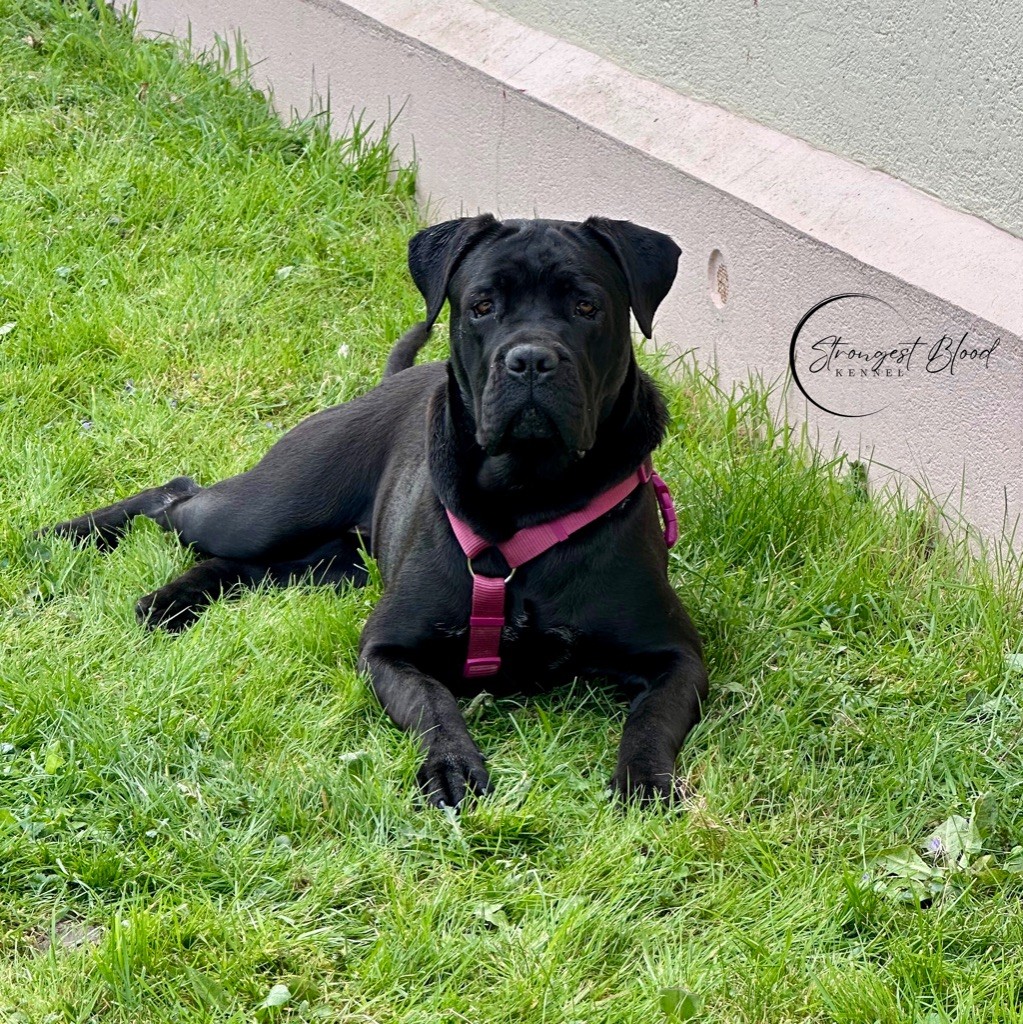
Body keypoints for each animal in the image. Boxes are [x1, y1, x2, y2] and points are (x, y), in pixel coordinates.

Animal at [42, 214, 709, 808]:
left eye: (588, 307)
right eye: (482, 305)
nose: (530, 360)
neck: (527, 494)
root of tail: (384, 385)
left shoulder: (678, 656)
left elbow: (651, 720)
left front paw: (645, 780)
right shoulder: (388, 649)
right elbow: (434, 705)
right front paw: (451, 766)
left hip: (326, 565)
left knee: (232, 564)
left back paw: (171, 599)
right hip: (271, 507)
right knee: (177, 496)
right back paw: (69, 537)